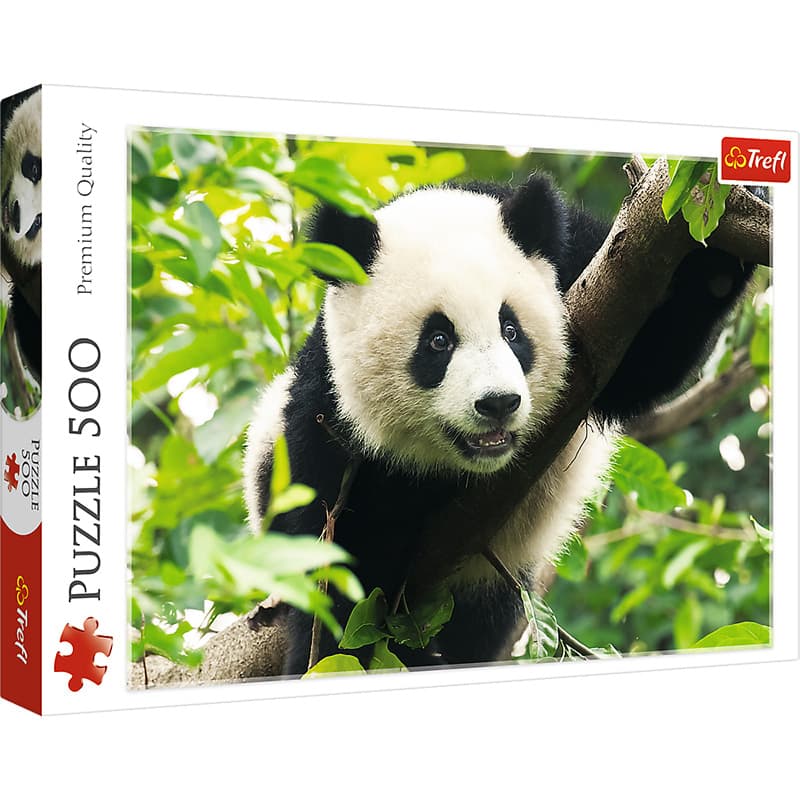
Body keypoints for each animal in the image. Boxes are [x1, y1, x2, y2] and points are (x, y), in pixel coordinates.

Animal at [243, 174, 754, 676]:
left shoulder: (584, 267)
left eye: (511, 330)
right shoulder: (328, 419)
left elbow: (648, 358)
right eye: (438, 340)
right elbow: (340, 562)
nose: (498, 403)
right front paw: (326, 653)